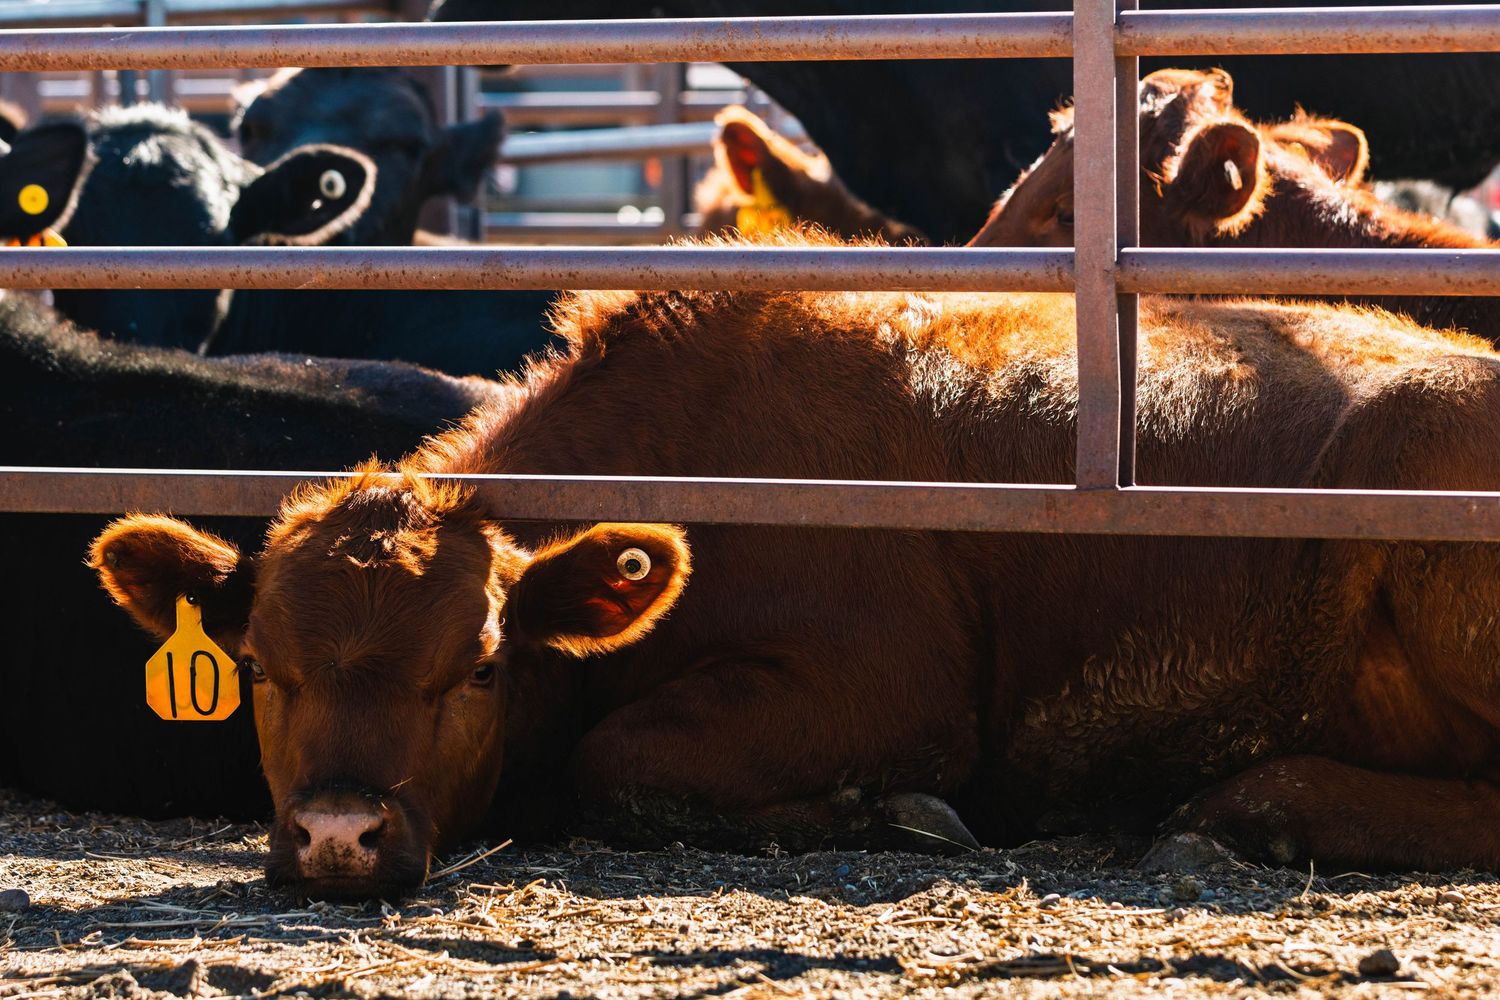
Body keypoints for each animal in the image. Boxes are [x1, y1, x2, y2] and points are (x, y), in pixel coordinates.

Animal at [94, 231, 1500, 898]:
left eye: (482, 666)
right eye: (257, 668)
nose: (337, 832)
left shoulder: (890, 692)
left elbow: (622, 760)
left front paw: (886, 813)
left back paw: (1257, 804)